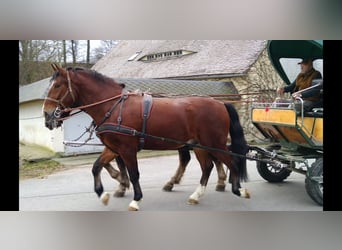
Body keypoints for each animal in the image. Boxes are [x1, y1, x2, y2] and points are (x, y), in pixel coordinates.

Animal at [44, 64, 250, 211]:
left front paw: (135, 200)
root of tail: (220, 103)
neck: (113, 107)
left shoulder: (127, 149)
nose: (47, 115)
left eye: (58, 85)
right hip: (200, 145)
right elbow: (96, 167)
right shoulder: (113, 148)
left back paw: (239, 189)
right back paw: (196, 195)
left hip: (214, 143)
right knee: (207, 167)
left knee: (232, 161)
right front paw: (103, 194)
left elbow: (134, 173)